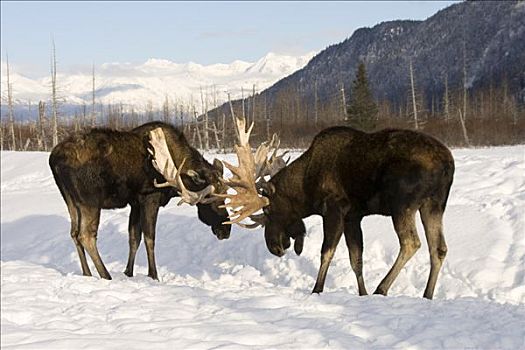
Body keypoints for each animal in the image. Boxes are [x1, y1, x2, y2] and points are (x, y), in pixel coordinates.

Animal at [49, 121, 229, 280]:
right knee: (86, 235)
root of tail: (54, 160)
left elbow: (134, 238)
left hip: (71, 200)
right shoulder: (150, 198)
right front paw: (154, 275)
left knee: (74, 233)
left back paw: (87, 273)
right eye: (209, 199)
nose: (226, 231)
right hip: (90, 201)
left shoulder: (135, 203)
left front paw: (128, 272)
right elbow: (150, 238)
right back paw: (105, 275)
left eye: (226, 193)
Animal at [148, 114, 454, 298]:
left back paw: (384, 288)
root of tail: (447, 163)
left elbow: (327, 252)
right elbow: (356, 258)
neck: (306, 186)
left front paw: (317, 289)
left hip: (403, 203)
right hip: (434, 205)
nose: (275, 247)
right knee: (438, 248)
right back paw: (427, 294)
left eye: (269, 211)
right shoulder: (354, 216)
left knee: (412, 242)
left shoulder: (335, 208)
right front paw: (362, 293)